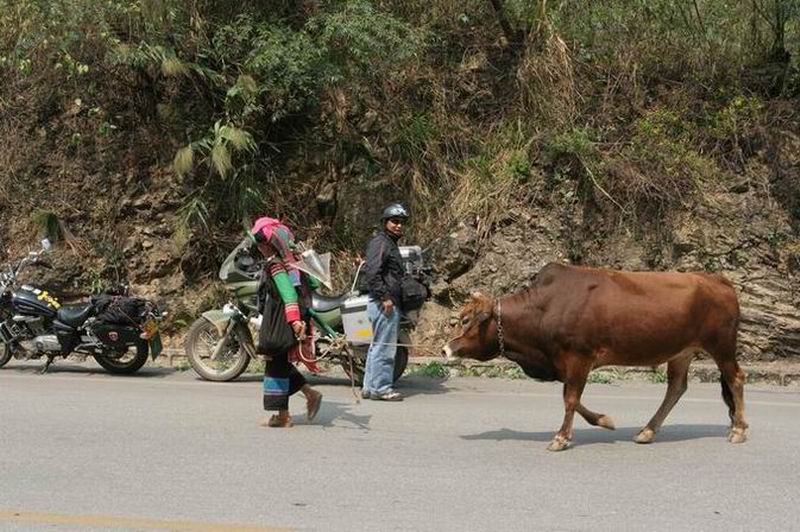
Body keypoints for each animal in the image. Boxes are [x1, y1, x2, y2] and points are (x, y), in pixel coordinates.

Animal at [440, 262, 748, 448]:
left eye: (465, 320)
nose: (445, 349)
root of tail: (717, 279)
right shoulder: (565, 364)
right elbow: (573, 399)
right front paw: (603, 420)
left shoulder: (579, 357)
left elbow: (570, 398)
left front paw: (561, 438)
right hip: (681, 351)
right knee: (676, 387)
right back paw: (647, 431)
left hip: (721, 346)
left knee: (736, 378)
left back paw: (739, 429)